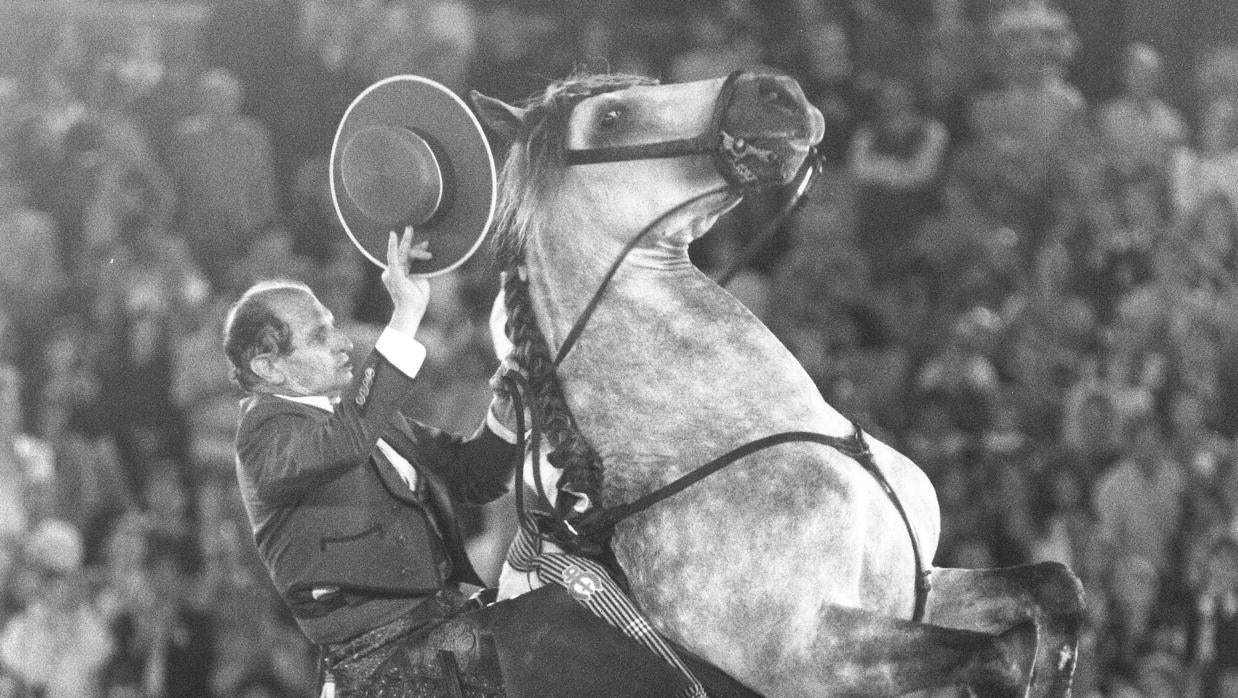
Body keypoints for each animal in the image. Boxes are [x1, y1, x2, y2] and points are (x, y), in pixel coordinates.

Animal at [470, 73, 1084, 693]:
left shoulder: (920, 589)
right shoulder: (814, 655)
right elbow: (998, 657)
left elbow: (1057, 588)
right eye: (611, 117)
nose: (779, 93)